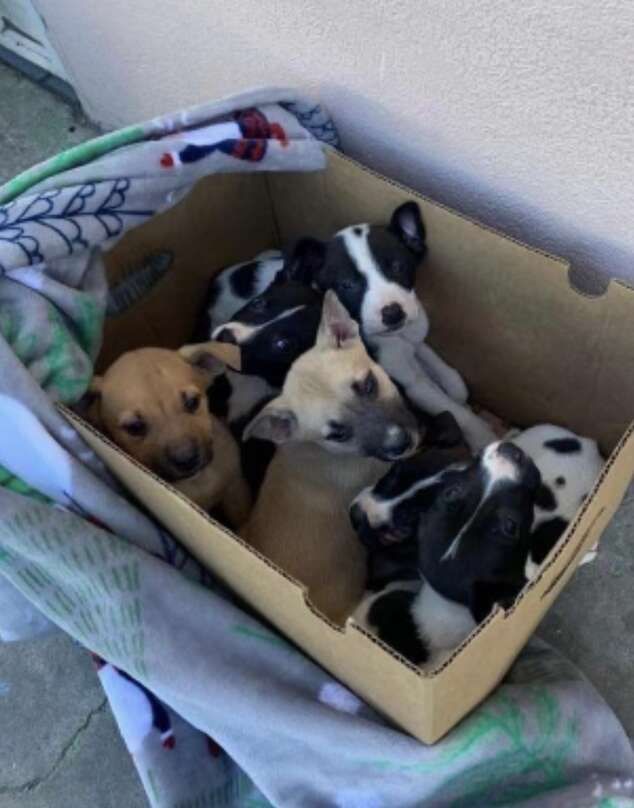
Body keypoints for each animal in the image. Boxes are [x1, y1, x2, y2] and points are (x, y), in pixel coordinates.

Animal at [286, 199, 494, 452]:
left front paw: (454, 384)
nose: (393, 313)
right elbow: (453, 409)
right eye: (347, 284)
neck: (395, 336)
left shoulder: (412, 333)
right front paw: (482, 434)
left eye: (398, 267)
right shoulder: (412, 385)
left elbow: (426, 351)